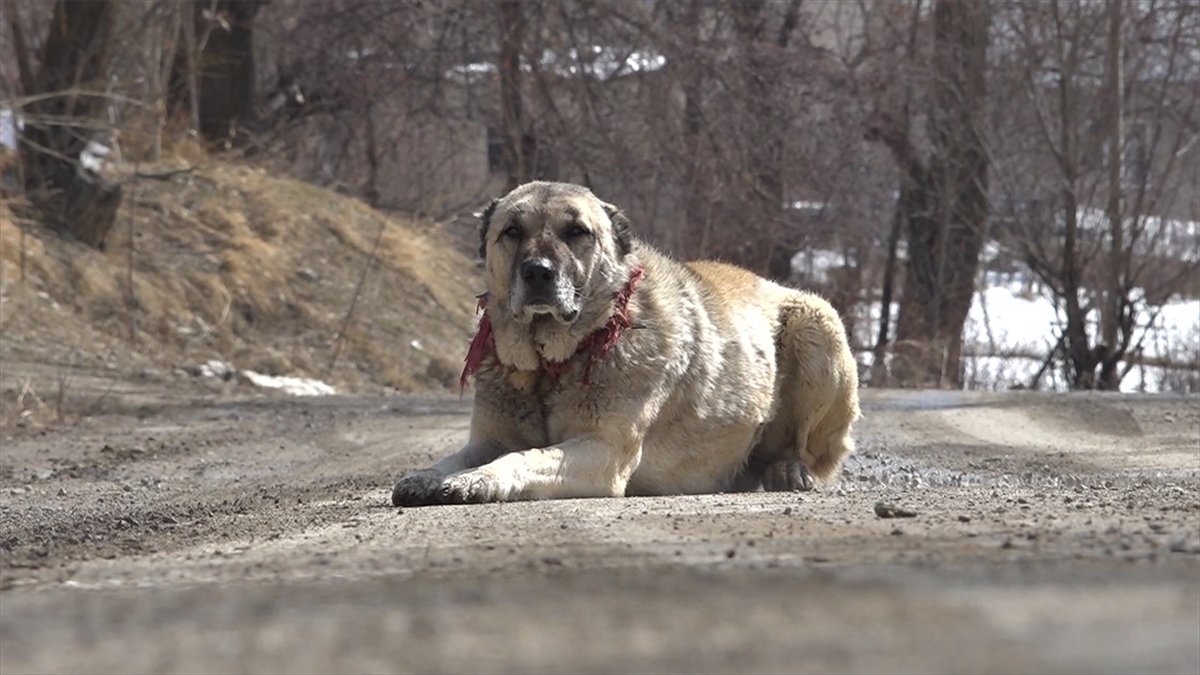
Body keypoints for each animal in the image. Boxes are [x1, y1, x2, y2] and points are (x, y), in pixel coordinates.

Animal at [393, 182, 864, 504]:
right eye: (511, 231)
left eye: (576, 231)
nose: (538, 272)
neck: (553, 364)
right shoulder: (486, 441)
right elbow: (456, 458)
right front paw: (428, 476)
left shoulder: (603, 451)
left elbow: (522, 457)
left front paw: (477, 481)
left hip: (817, 325)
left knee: (809, 450)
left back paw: (790, 470)